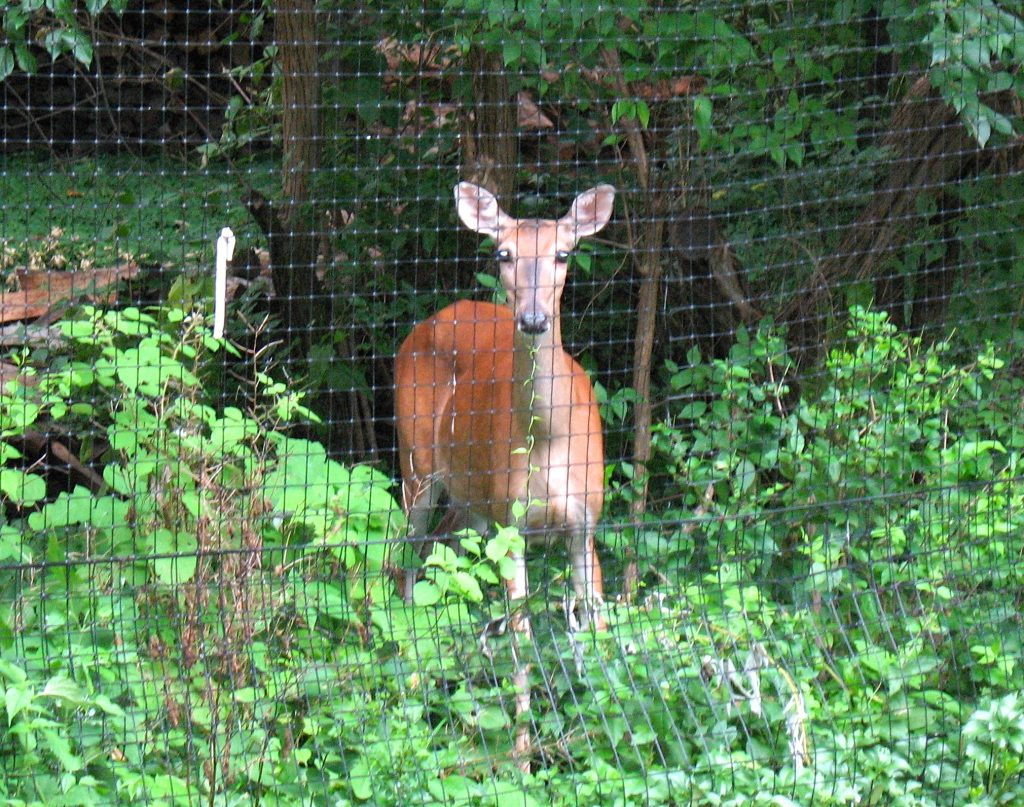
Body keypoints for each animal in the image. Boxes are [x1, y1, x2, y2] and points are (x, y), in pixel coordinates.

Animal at [395, 181, 610, 630]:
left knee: (448, 545)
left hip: (470, 494)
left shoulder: (586, 521)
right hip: (416, 459)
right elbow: (521, 629)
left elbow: (599, 624)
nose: (533, 318)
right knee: (406, 549)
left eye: (563, 253)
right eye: (503, 253)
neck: (548, 439)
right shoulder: (510, 523)